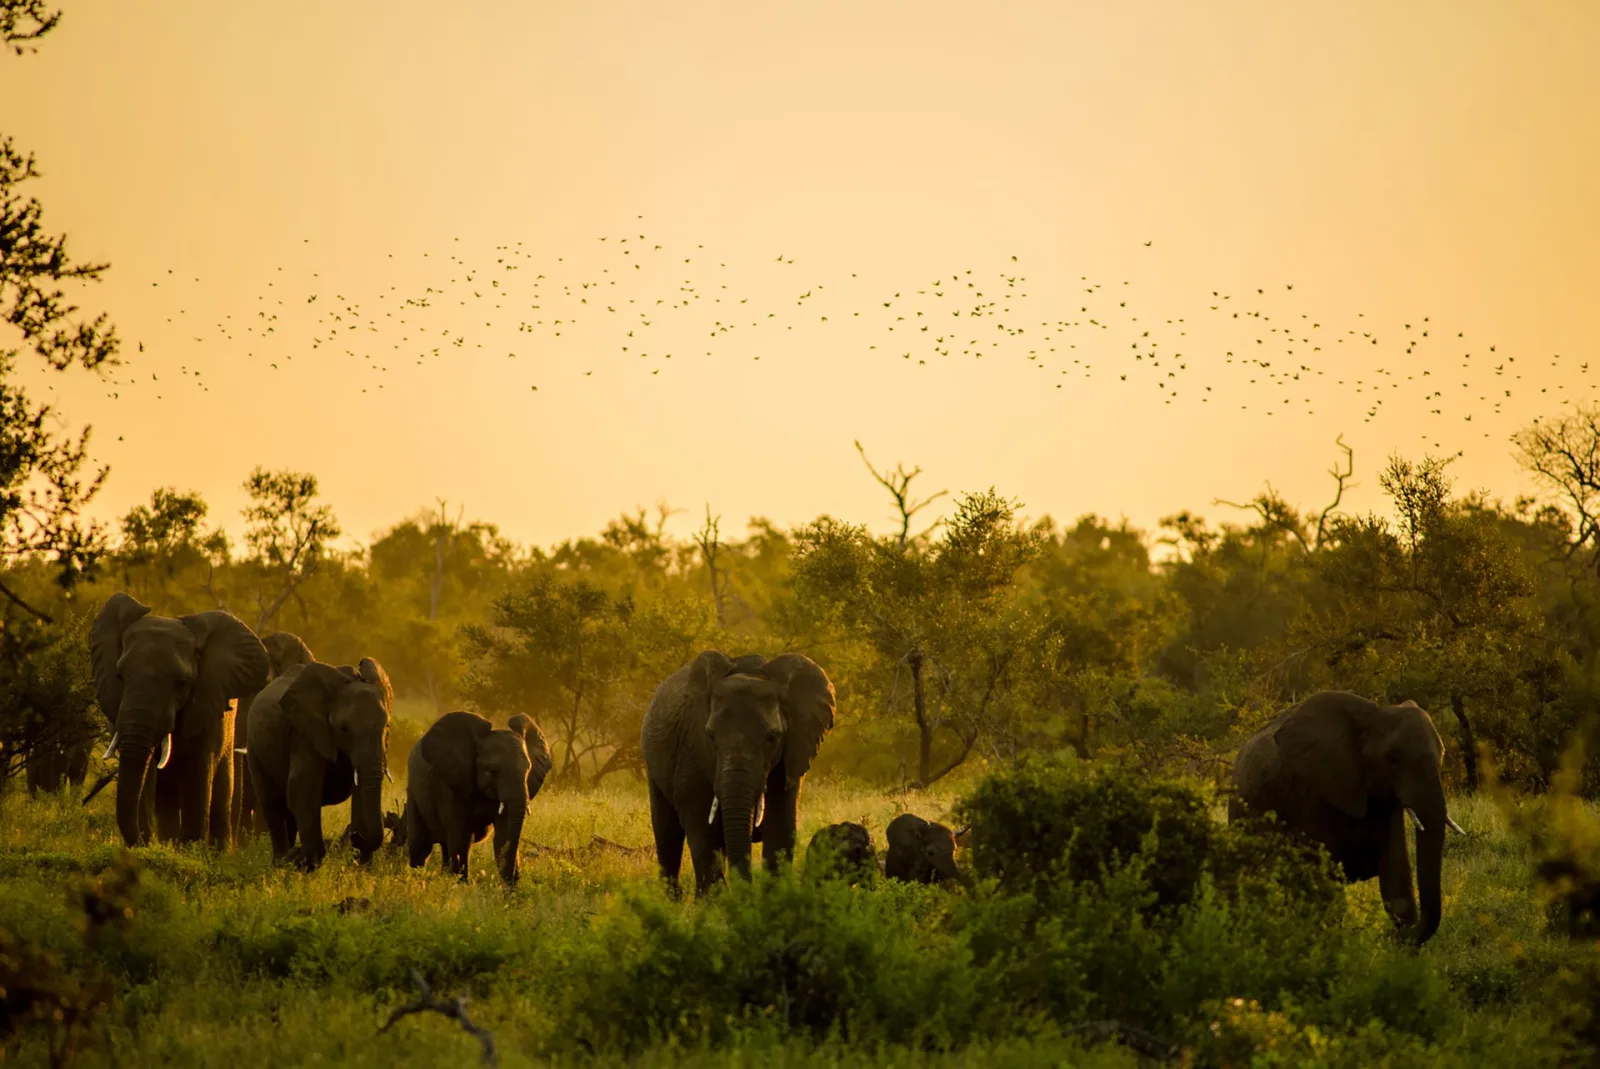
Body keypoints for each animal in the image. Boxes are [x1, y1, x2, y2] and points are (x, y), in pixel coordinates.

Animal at [90, 593, 270, 848]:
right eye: (119, 676)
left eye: (182, 682)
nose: (144, 841)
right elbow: (147, 776)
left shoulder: (206, 707)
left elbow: (197, 776)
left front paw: (192, 849)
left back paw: (218, 850)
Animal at [245, 657, 393, 869]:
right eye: (343, 729)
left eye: (387, 726)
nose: (355, 835)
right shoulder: (305, 732)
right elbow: (302, 787)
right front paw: (306, 863)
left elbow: (360, 792)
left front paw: (363, 868)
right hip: (254, 748)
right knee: (272, 803)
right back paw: (281, 863)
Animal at [404, 711, 553, 884]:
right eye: (491, 771)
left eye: (528, 770)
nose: (515, 881)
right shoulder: (450, 786)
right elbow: (460, 838)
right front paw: (461, 886)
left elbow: (503, 837)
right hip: (413, 792)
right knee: (420, 847)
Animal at [641, 650, 836, 895]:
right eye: (710, 735)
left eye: (772, 737)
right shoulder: (691, 749)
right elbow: (701, 827)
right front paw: (716, 901)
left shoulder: (790, 754)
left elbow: (780, 827)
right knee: (668, 834)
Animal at [1230, 690, 1466, 944]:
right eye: (1391, 758)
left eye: (1442, 754)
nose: (1394, 936)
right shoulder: (1311, 791)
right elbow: (1321, 885)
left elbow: (1395, 875)